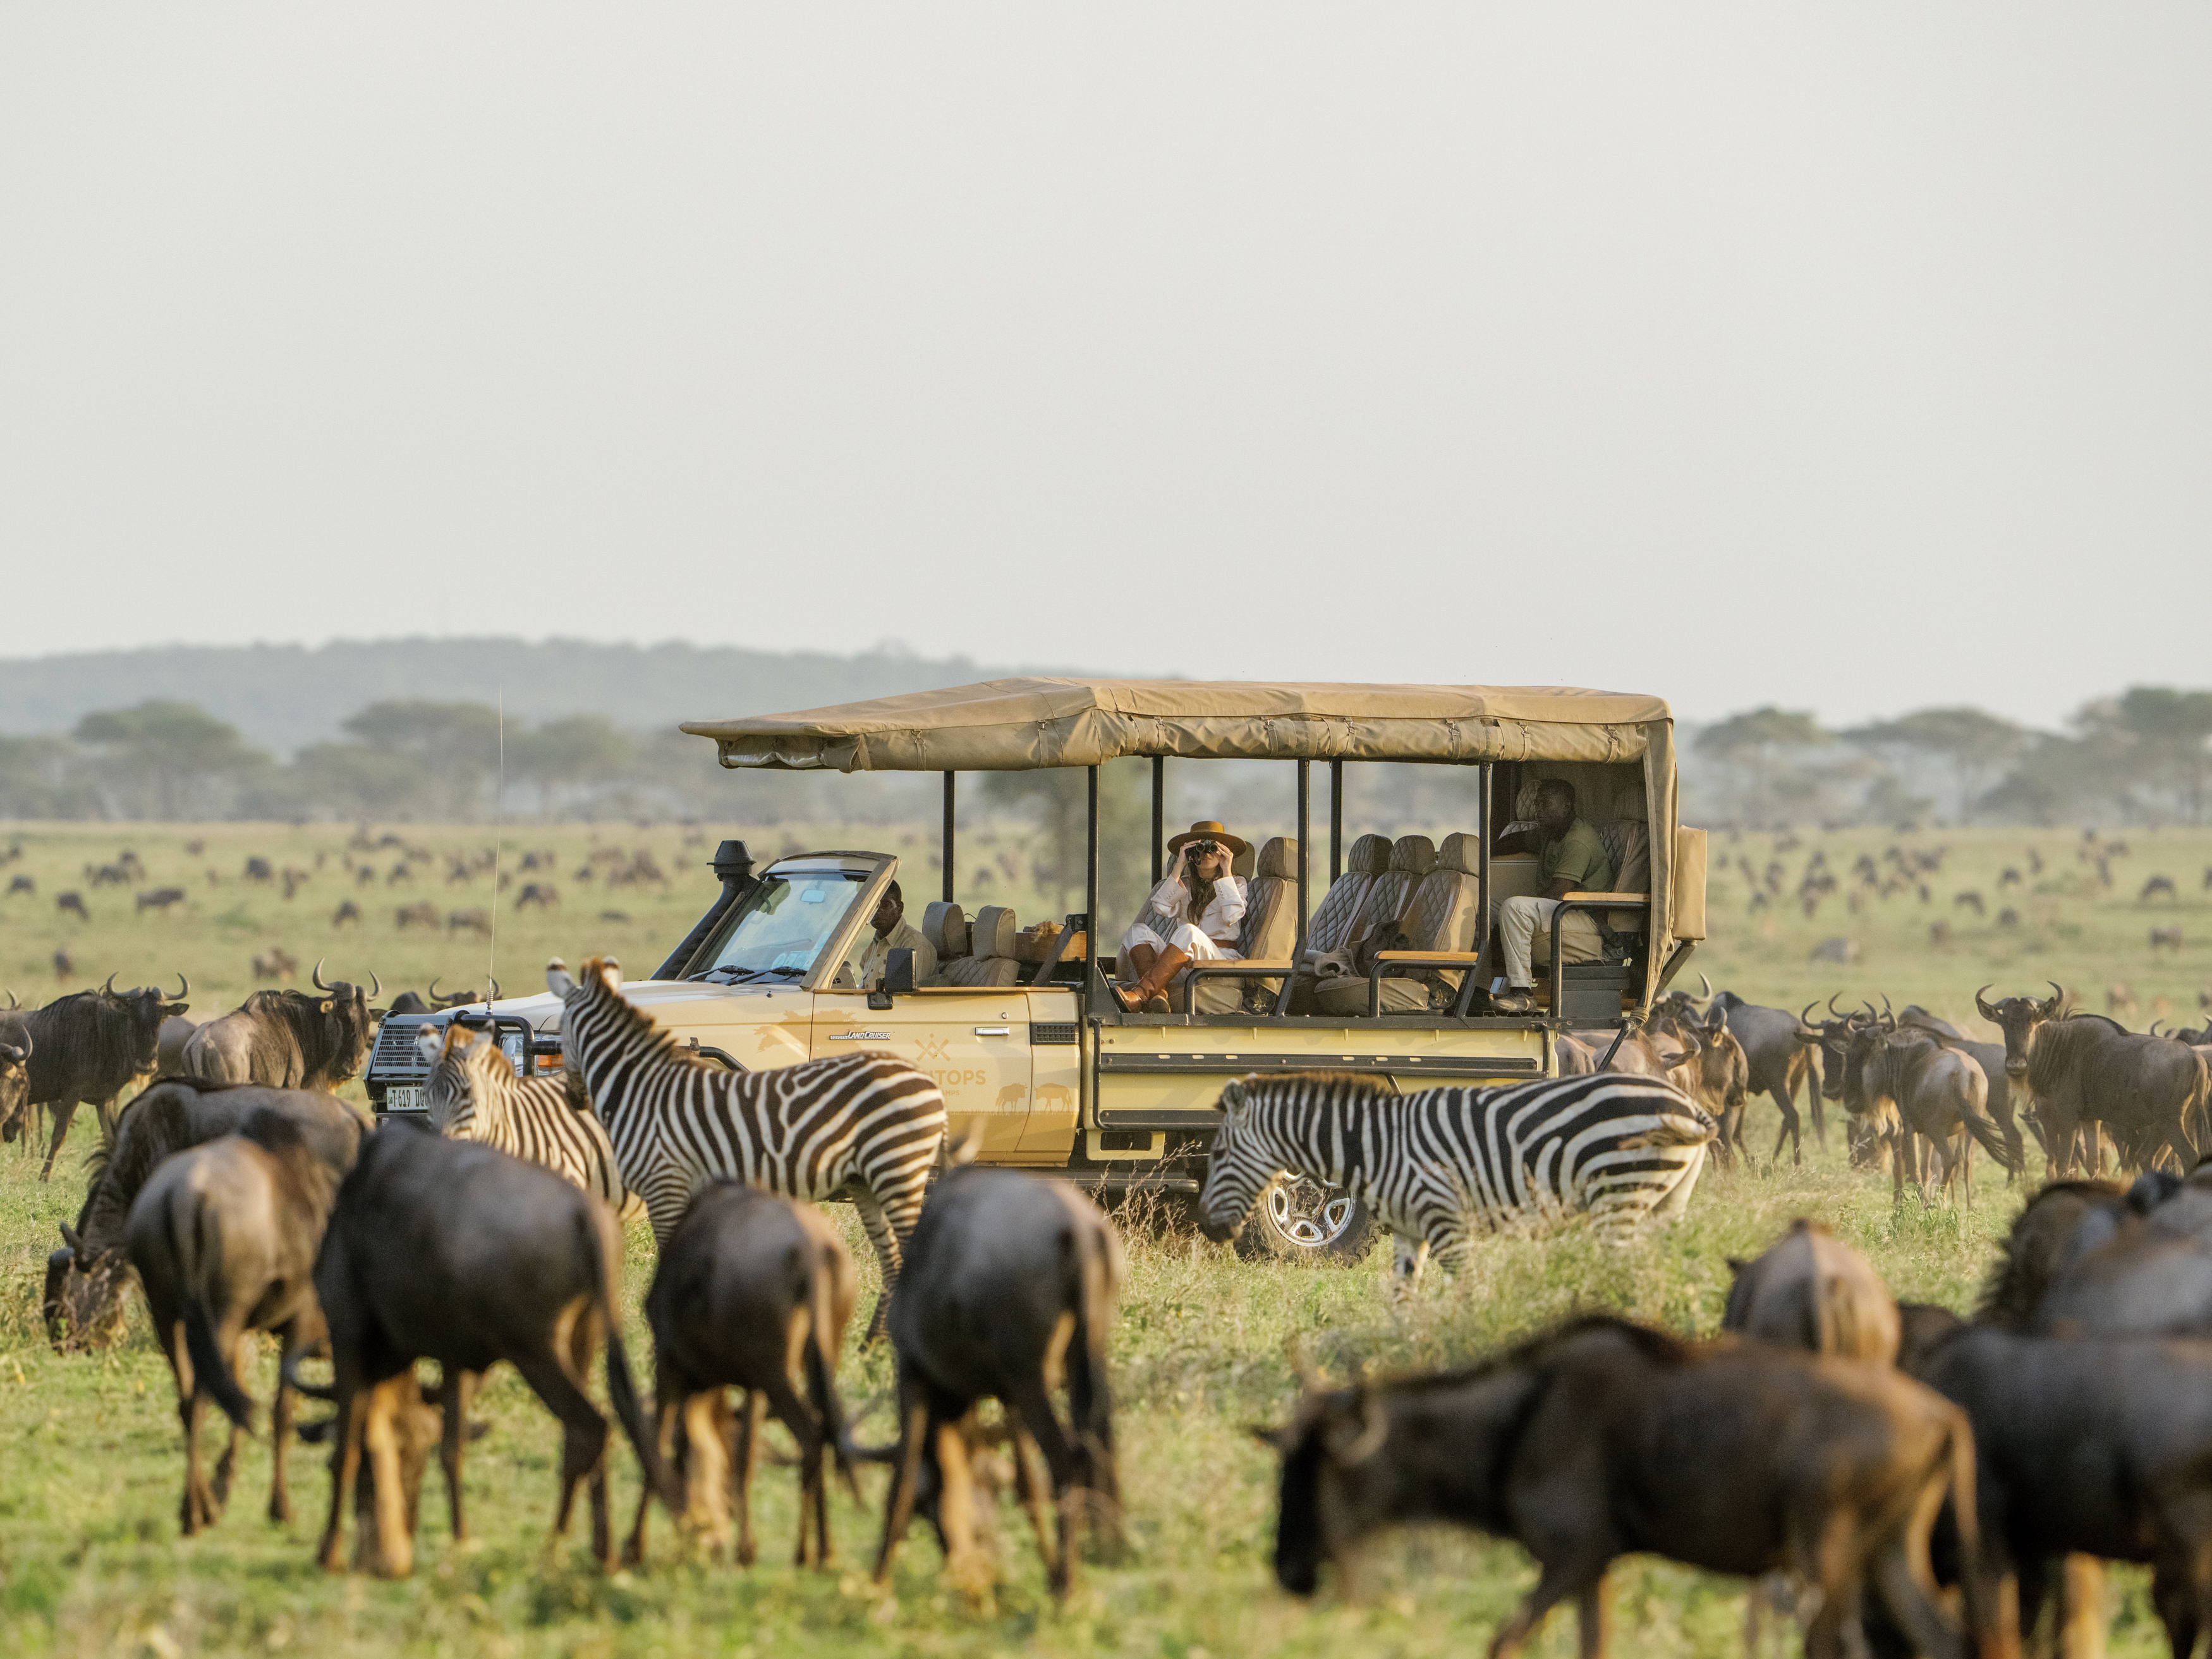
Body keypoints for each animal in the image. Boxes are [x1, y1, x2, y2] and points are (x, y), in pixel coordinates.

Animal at [561, 956, 947, 1337]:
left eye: (561, 1038)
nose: (574, 1098)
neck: (645, 1087)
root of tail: (929, 1084)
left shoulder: (668, 1181)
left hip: (896, 1166)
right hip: (873, 1179)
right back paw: (872, 1345)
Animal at [1198, 1071, 1716, 1293]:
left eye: (1217, 1154)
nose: (1207, 1229)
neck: (1377, 1145)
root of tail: (1691, 1105)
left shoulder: (1447, 1220)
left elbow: (1467, 1291)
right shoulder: (1410, 1231)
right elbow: (1401, 1298)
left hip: (1620, 1196)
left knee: (1629, 1270)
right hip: (1666, 1202)